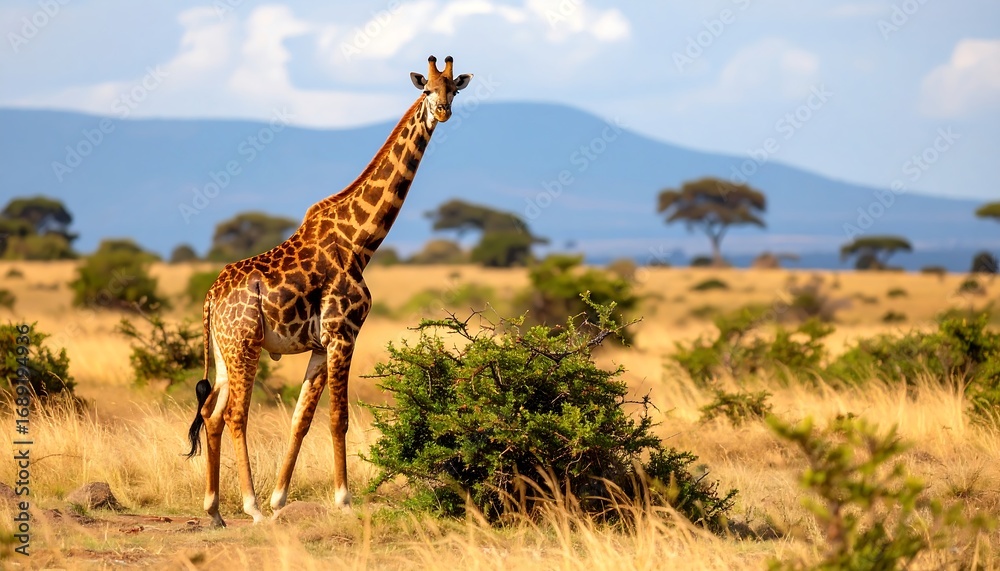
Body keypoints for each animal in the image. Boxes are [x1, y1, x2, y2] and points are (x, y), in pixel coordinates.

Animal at [184, 56, 473, 527]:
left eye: (454, 89)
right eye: (427, 90)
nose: (443, 112)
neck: (360, 242)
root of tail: (211, 298)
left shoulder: (321, 344)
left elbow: (301, 418)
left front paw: (280, 498)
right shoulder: (343, 333)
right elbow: (339, 417)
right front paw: (343, 500)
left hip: (224, 350)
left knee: (210, 414)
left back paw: (214, 510)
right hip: (245, 344)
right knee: (236, 414)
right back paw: (248, 507)